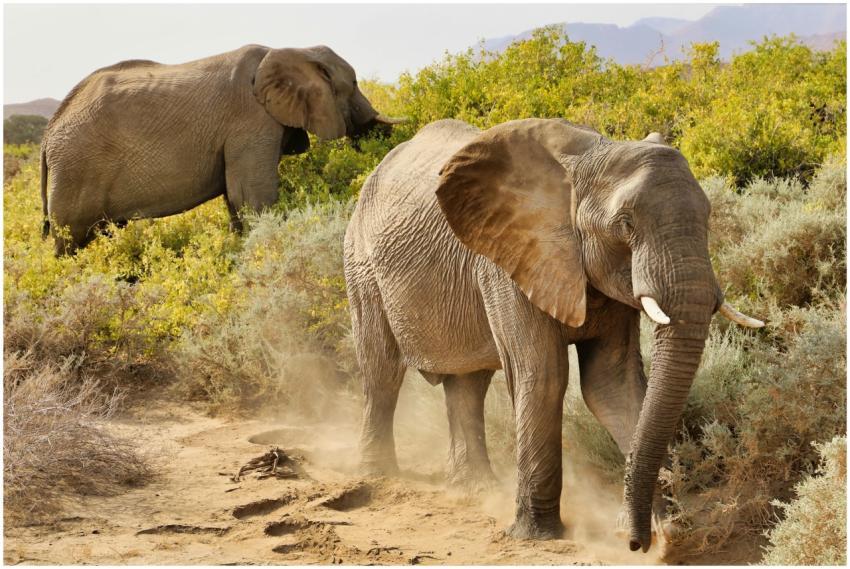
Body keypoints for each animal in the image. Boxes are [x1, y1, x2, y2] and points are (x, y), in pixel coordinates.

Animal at [40, 44, 400, 255]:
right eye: (353, 84)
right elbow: (252, 196)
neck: (291, 50)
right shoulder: (250, 122)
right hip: (76, 169)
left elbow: (236, 198)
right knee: (71, 240)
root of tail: (48, 133)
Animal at [343, 118, 763, 552]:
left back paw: (474, 490)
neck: (587, 160)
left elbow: (612, 385)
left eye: (708, 216)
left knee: (468, 384)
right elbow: (543, 375)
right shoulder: (507, 262)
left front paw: (665, 533)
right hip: (361, 262)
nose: (634, 543)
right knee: (382, 370)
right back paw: (379, 475)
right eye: (626, 224)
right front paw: (538, 535)